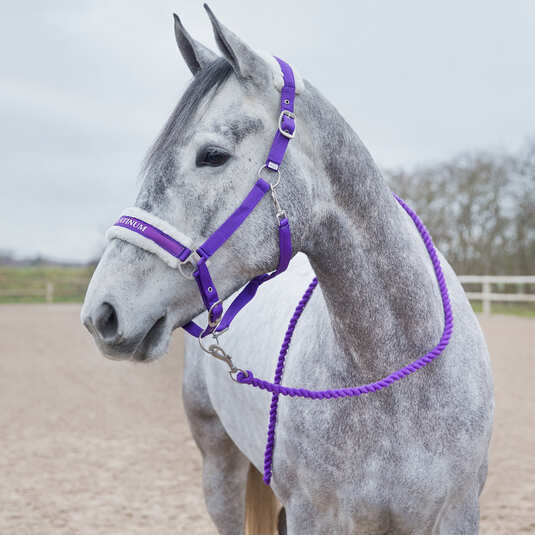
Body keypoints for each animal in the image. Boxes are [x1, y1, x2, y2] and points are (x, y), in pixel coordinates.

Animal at [81, 5, 496, 535]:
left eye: (211, 155)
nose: (103, 312)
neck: (397, 380)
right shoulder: (313, 517)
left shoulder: (457, 513)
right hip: (220, 472)